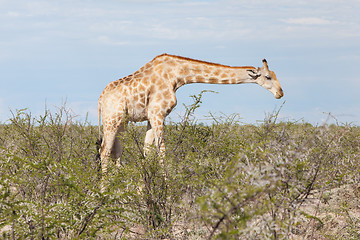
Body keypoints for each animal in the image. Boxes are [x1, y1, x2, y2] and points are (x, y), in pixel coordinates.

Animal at [97, 53, 284, 174]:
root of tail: (100, 100)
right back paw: (103, 193)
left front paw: (143, 191)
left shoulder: (152, 116)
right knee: (104, 151)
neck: (177, 75)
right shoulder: (158, 113)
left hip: (121, 124)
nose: (280, 93)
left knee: (116, 152)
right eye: (268, 77)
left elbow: (147, 152)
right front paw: (166, 191)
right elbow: (162, 151)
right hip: (111, 120)